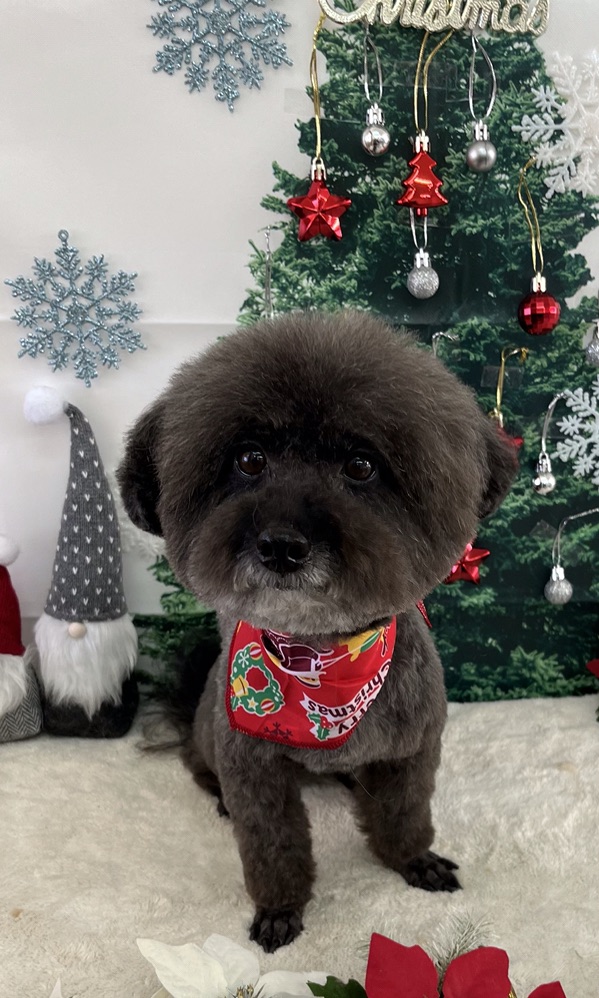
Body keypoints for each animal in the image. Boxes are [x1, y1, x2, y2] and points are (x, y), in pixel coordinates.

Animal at [118, 310, 517, 952]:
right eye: (249, 459)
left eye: (360, 465)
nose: (281, 544)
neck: (324, 658)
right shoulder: (253, 769)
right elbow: (272, 843)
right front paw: (280, 908)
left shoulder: (415, 748)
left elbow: (405, 812)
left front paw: (414, 860)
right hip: (209, 729)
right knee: (197, 761)